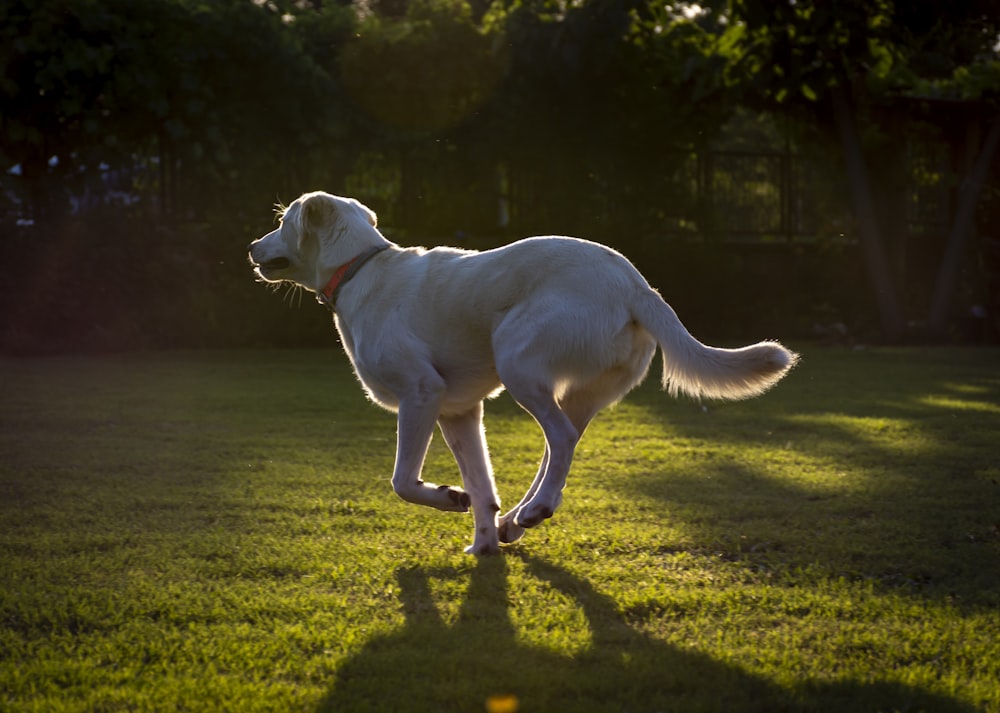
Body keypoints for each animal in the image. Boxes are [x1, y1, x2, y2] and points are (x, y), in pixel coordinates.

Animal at [250, 192, 796, 552]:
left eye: (282, 221)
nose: (252, 246)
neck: (360, 269)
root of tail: (635, 285)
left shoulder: (421, 395)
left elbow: (403, 481)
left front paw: (448, 498)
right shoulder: (459, 412)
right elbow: (481, 486)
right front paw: (483, 543)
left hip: (516, 359)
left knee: (561, 438)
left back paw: (538, 509)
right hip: (576, 391)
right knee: (559, 445)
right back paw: (519, 518)